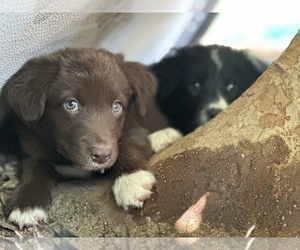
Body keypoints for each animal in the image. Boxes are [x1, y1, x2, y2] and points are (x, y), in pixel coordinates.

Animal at [0, 47, 158, 229]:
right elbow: (33, 168)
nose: (101, 156)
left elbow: (126, 143)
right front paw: (26, 202)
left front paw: (130, 179)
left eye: (117, 106)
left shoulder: (136, 128)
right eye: (71, 104)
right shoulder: (32, 146)